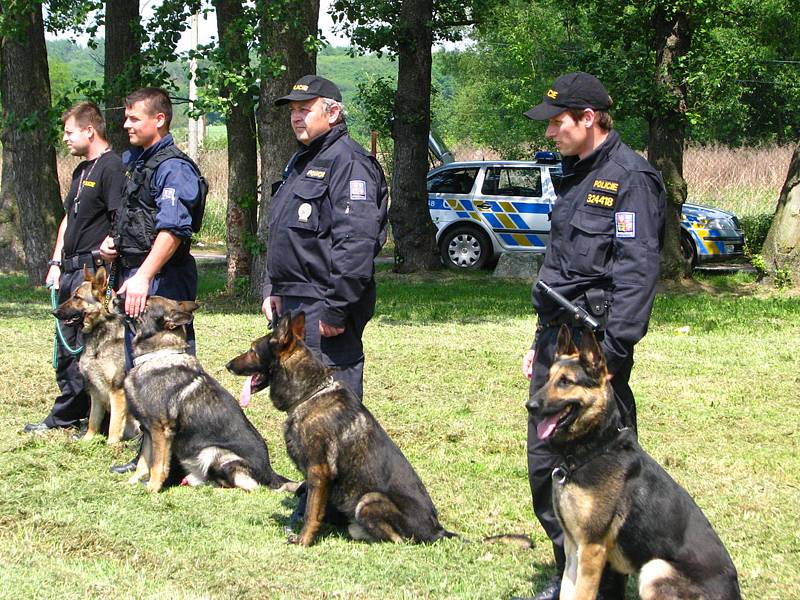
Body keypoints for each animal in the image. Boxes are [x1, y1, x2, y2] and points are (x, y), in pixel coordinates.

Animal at [54, 268, 134, 446]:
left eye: (77, 297)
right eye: (72, 295)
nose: (53, 312)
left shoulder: (117, 391)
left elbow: (114, 424)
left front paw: (112, 445)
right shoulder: (95, 390)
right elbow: (93, 420)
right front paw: (87, 441)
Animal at [114, 292, 296, 494]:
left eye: (144, 304)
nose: (115, 298)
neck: (158, 355)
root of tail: (270, 473)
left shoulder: (160, 430)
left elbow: (157, 465)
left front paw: (152, 489)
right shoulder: (148, 430)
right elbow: (143, 463)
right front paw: (132, 483)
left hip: (215, 453)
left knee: (247, 486)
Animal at [225, 314, 456, 548]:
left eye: (252, 350)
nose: (228, 365)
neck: (310, 394)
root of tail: (438, 530)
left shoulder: (318, 472)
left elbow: (311, 512)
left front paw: (303, 540)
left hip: (368, 500)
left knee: (397, 540)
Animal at [528, 326, 740, 600]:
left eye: (565, 382)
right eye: (548, 379)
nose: (530, 405)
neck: (596, 448)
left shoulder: (591, 550)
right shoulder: (573, 547)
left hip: (654, 568)